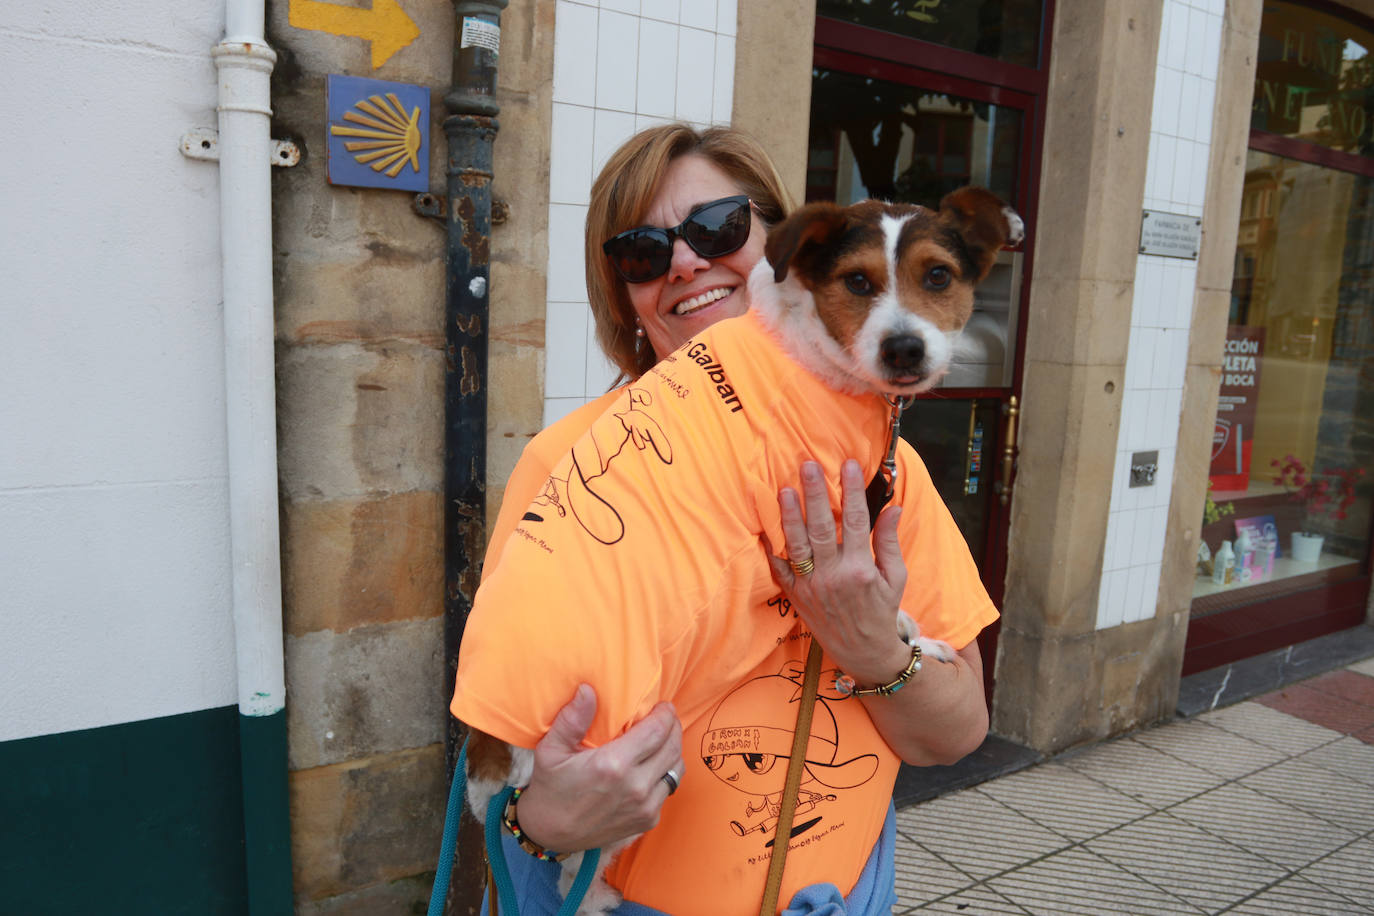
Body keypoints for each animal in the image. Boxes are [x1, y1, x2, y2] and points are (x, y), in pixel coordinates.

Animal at [456, 188, 1027, 916]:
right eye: (858, 282)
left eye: (937, 276)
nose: (905, 349)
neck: (806, 341)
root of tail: (485, 741)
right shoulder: (814, 525)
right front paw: (910, 632)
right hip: (627, 762)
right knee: (571, 864)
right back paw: (597, 895)